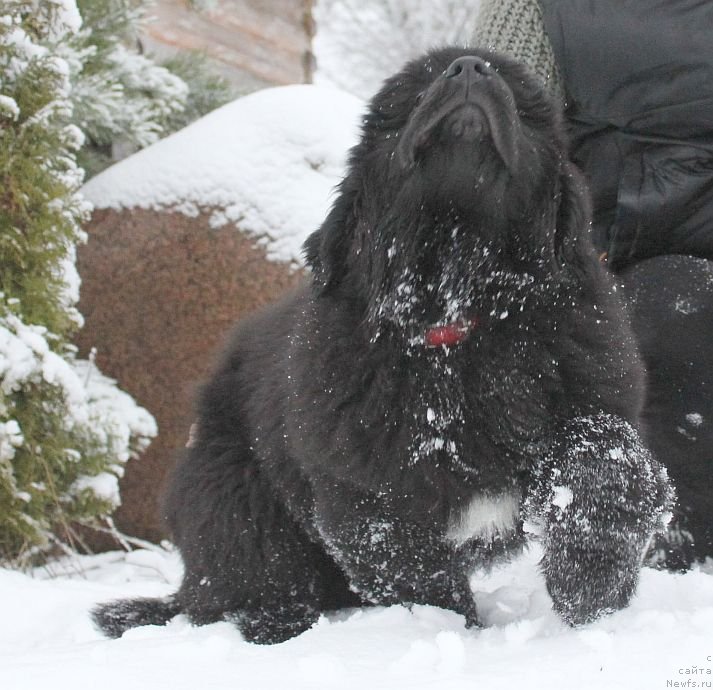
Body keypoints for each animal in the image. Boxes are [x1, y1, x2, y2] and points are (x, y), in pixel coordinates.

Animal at [92, 47, 672, 640]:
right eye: (411, 96)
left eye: (523, 100)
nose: (468, 67)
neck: (457, 316)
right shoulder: (369, 493)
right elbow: (416, 571)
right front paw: (456, 629)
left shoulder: (586, 390)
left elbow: (605, 460)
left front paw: (590, 584)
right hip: (236, 503)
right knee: (251, 581)